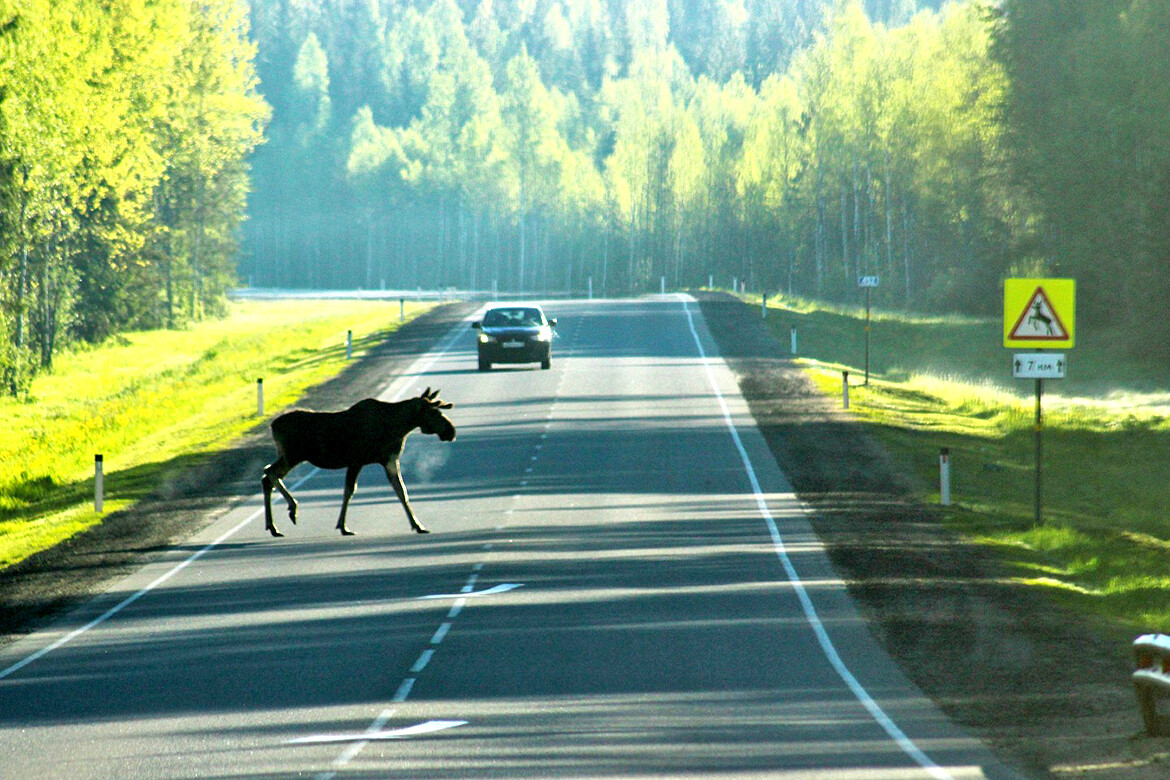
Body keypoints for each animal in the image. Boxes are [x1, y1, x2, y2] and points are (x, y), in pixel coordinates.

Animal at [263, 388, 453, 537]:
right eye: (434, 413)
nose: (451, 431)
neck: (399, 427)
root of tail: (272, 425)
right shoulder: (357, 461)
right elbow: (349, 491)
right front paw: (343, 526)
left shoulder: (389, 460)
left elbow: (401, 491)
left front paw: (418, 525)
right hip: (292, 456)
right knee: (269, 473)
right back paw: (292, 508)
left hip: (289, 457)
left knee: (267, 477)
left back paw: (273, 526)